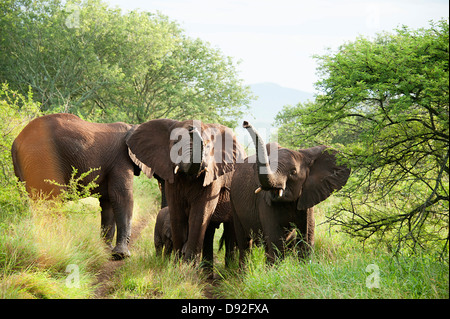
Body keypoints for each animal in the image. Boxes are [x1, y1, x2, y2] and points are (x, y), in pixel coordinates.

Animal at [11, 114, 141, 262]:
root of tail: (16, 141)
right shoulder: (121, 159)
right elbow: (121, 197)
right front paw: (121, 255)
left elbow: (108, 201)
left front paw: (106, 251)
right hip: (41, 158)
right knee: (53, 201)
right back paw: (58, 245)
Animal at [126, 119, 246, 264]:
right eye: (175, 143)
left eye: (207, 146)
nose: (192, 129)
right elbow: (177, 212)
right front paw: (177, 264)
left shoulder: (214, 175)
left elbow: (199, 214)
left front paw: (188, 265)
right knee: (210, 231)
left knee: (230, 230)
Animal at [230, 121, 350, 264]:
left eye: (293, 172)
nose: (245, 123)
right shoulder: (264, 202)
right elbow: (276, 240)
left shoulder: (307, 196)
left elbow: (307, 236)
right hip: (233, 203)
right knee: (245, 243)